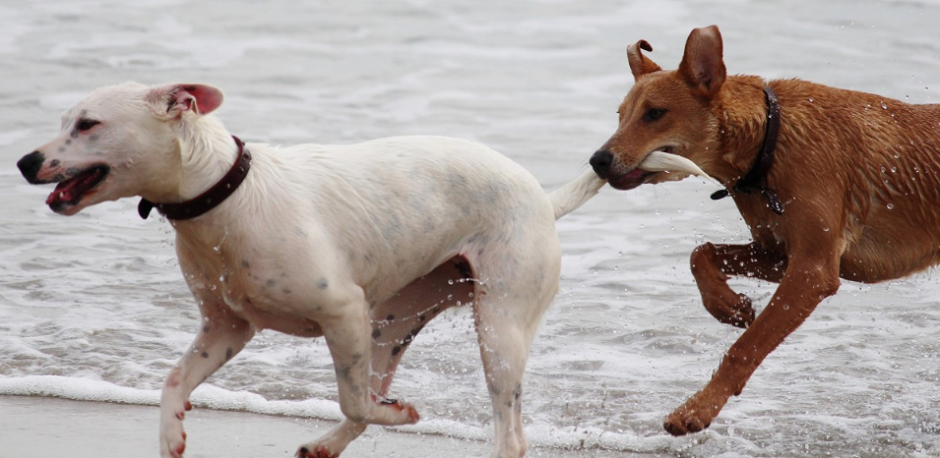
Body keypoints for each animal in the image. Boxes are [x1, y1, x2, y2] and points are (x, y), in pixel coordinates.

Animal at [18, 82, 604, 458]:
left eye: (88, 124)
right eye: (65, 122)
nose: (24, 162)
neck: (228, 195)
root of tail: (542, 199)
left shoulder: (342, 312)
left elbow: (355, 400)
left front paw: (400, 416)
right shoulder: (226, 329)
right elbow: (174, 380)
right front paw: (169, 435)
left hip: (499, 327)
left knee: (508, 434)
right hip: (391, 322)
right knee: (374, 387)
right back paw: (323, 446)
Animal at [596, 25, 940, 436]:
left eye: (655, 113)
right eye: (620, 116)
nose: (597, 160)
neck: (769, 142)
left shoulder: (813, 271)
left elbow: (746, 347)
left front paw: (697, 409)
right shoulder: (778, 252)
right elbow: (701, 253)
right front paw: (728, 305)